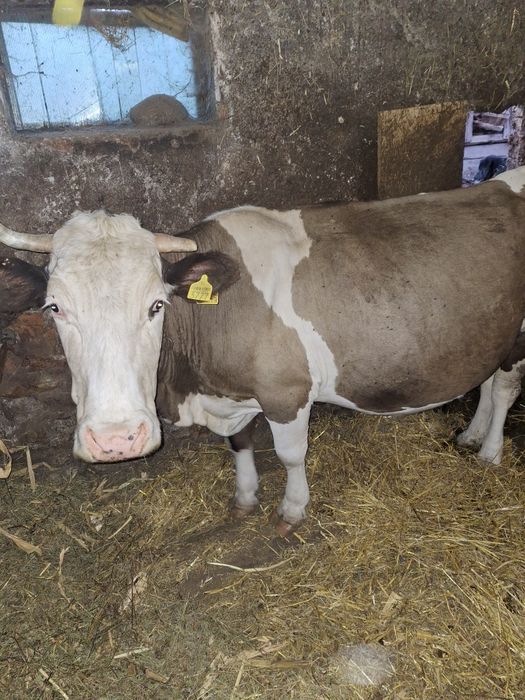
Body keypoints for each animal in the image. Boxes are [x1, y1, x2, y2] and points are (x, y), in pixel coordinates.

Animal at [1, 167, 525, 535]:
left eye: (156, 304)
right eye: (54, 307)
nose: (116, 440)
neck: (196, 386)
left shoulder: (286, 392)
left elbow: (291, 455)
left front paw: (291, 511)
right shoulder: (232, 395)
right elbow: (240, 443)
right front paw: (245, 498)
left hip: (519, 338)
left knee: (503, 390)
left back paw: (490, 452)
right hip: (488, 330)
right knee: (484, 381)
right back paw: (470, 436)